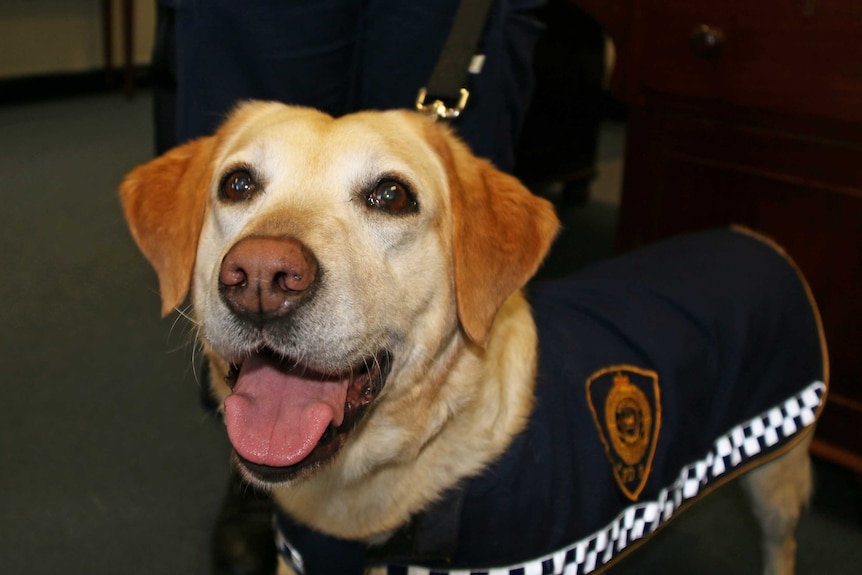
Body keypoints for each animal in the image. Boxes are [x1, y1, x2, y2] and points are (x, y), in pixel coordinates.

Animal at [121, 101, 832, 572]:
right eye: (237, 184)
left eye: (391, 195)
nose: (262, 277)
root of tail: (750, 235)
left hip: (780, 477)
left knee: (784, 544)